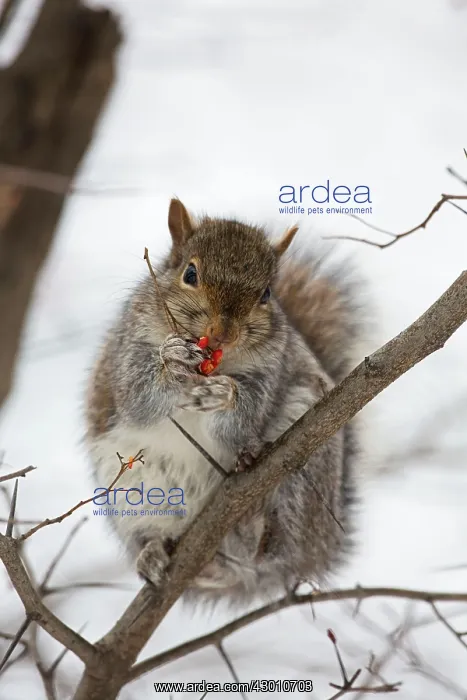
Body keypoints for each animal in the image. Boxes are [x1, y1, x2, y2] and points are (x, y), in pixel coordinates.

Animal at [85, 198, 366, 606]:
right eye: (190, 273)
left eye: (266, 294)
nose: (222, 333)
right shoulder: (127, 351)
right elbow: (137, 400)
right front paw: (171, 360)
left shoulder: (272, 368)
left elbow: (245, 413)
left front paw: (224, 395)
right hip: (131, 494)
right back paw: (161, 554)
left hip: (307, 472)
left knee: (269, 552)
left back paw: (252, 528)